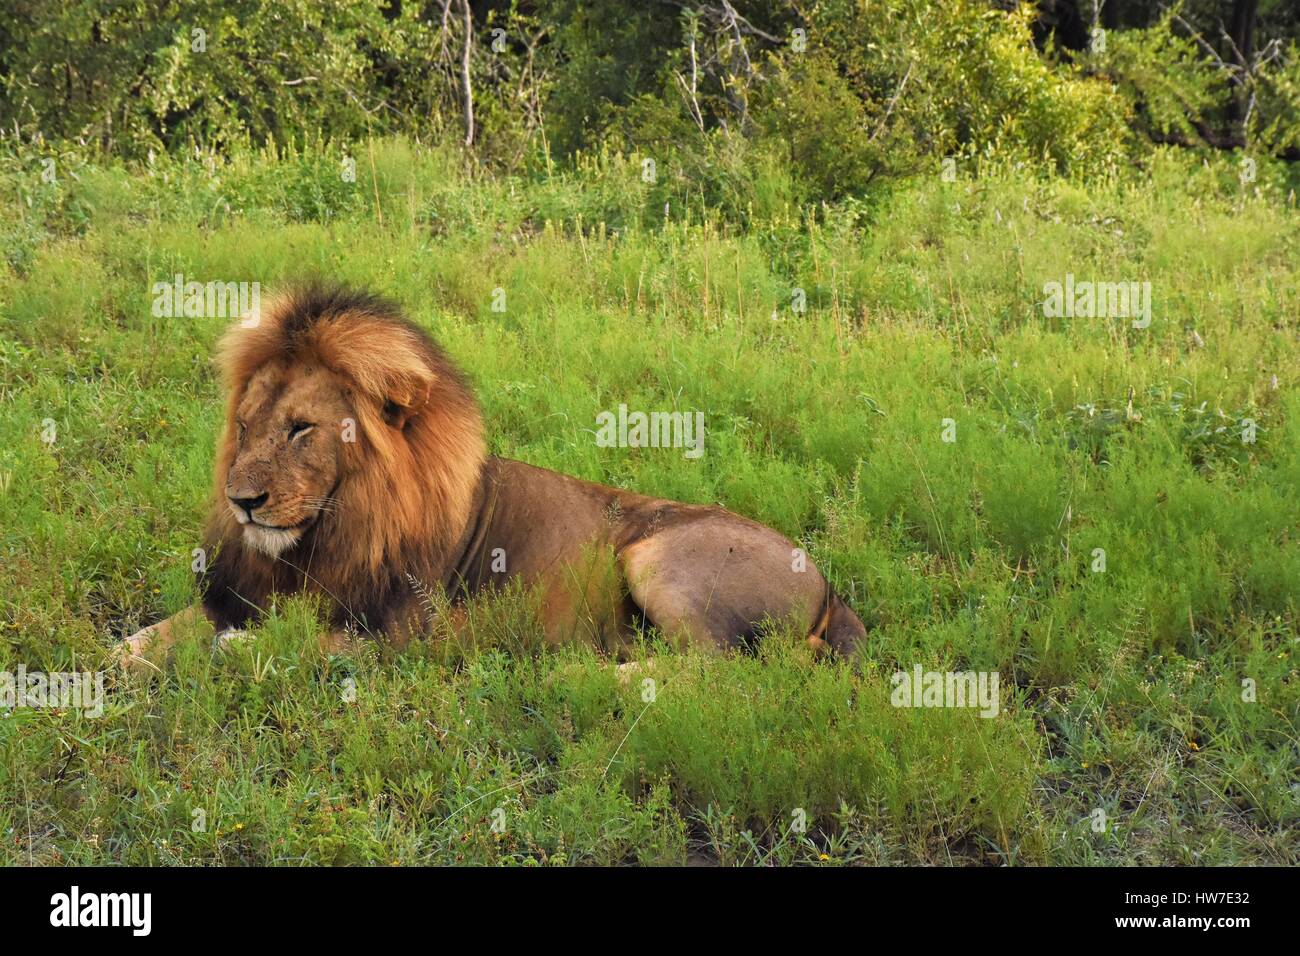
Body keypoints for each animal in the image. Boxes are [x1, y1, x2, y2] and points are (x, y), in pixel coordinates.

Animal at [122, 286, 868, 665]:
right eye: (246, 426)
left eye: (302, 428)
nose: (242, 501)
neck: (323, 538)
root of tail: (829, 585)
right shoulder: (242, 593)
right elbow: (160, 632)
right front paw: (122, 659)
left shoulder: (400, 637)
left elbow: (282, 646)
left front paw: (233, 651)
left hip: (655, 558)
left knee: (735, 669)